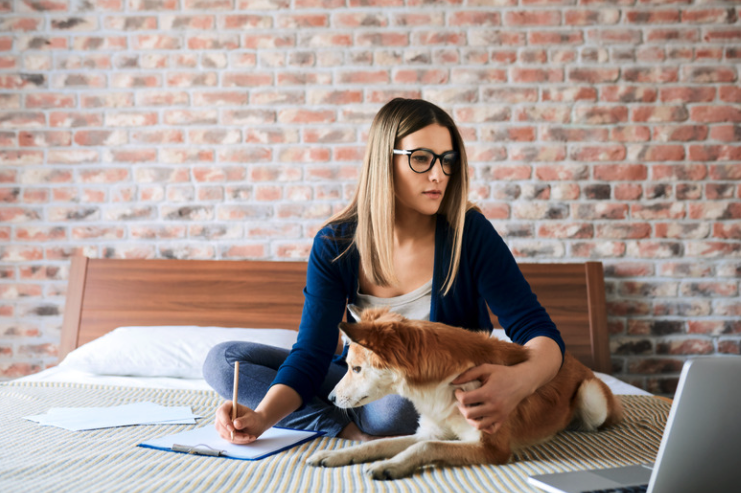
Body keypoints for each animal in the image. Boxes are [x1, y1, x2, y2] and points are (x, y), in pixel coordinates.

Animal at [304, 306, 620, 478]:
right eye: (348, 366)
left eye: (356, 368)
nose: (330, 398)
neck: (442, 387)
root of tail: (574, 359)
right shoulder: (429, 431)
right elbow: (378, 444)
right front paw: (335, 455)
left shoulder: (490, 448)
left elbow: (427, 448)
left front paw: (390, 466)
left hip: (590, 396)